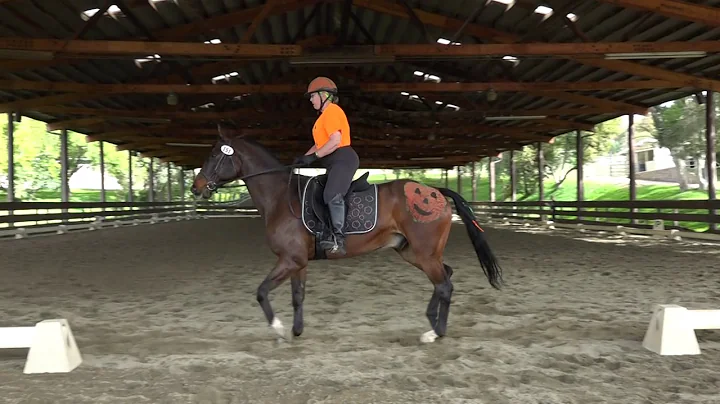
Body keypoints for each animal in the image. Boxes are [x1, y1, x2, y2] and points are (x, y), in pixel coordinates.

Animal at [191, 127, 506, 344]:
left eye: (215, 154)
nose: (196, 187)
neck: (280, 197)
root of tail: (436, 192)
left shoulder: (289, 260)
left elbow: (261, 292)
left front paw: (278, 330)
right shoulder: (297, 262)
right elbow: (297, 296)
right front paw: (296, 331)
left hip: (424, 253)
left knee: (445, 285)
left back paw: (436, 332)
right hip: (412, 252)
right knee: (445, 277)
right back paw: (431, 321)